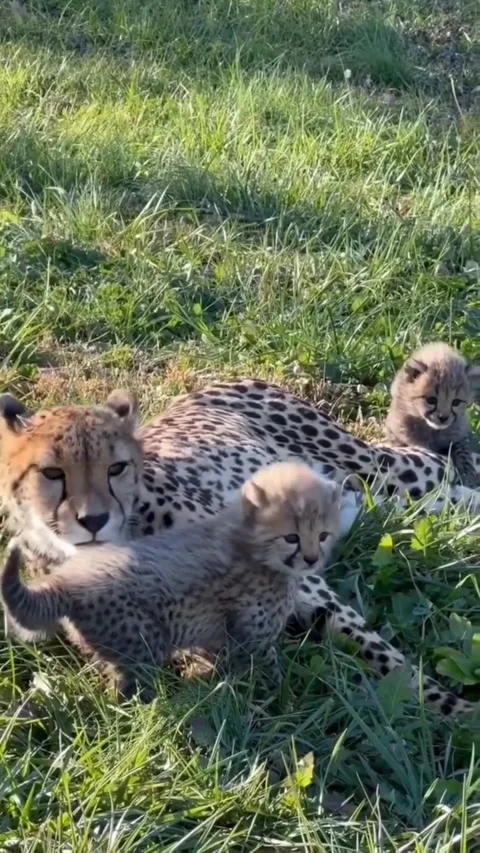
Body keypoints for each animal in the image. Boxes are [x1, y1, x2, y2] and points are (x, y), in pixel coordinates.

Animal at [2, 461, 345, 698]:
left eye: (323, 535)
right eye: (291, 538)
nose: (312, 559)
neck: (250, 544)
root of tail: (65, 581)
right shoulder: (252, 639)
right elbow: (268, 670)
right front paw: (283, 695)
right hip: (143, 641)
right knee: (127, 689)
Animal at [385, 343, 480, 487]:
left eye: (456, 402)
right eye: (431, 400)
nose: (443, 418)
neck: (432, 430)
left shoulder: (459, 433)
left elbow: (463, 452)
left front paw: (468, 474)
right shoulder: (398, 432)